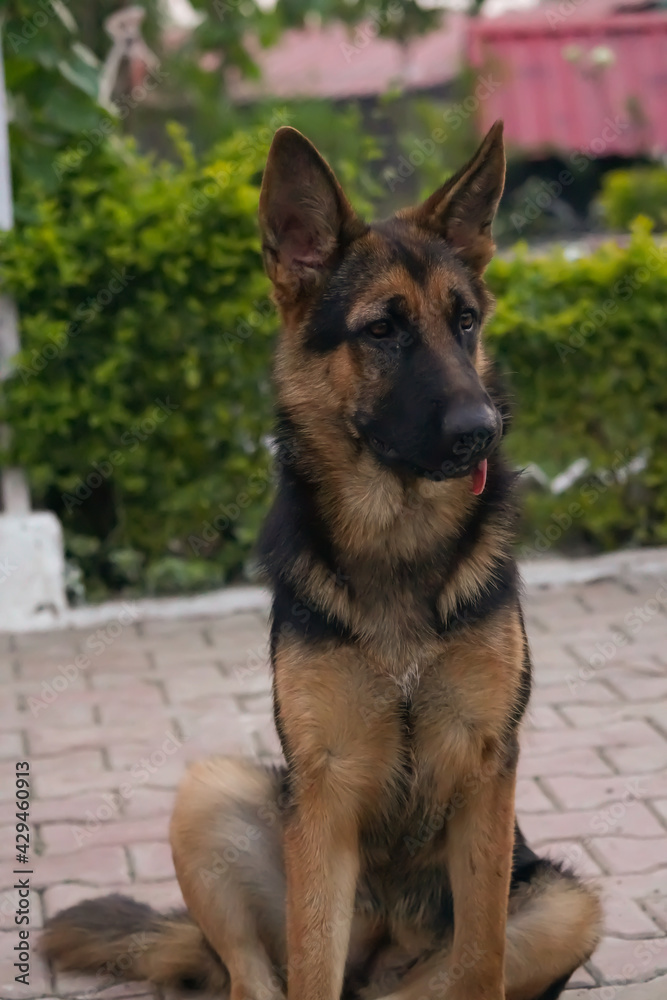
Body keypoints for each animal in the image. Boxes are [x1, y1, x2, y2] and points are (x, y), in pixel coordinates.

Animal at [44, 123, 604, 1000]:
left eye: (465, 322)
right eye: (381, 330)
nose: (481, 432)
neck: (396, 536)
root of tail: (380, 951)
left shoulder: (486, 778)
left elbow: (480, 958)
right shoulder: (324, 790)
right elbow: (308, 962)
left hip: (562, 904)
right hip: (212, 795)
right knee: (259, 977)